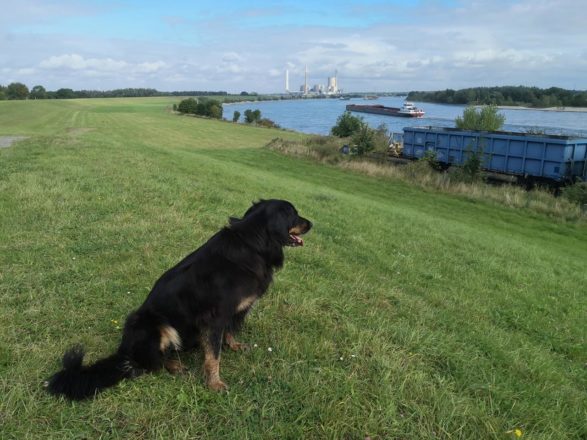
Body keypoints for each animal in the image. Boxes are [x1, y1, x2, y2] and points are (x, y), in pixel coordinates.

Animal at [47, 201, 312, 400]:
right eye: (294, 214)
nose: (312, 223)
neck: (253, 243)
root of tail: (123, 351)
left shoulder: (232, 312)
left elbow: (228, 333)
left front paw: (234, 345)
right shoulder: (215, 317)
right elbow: (213, 356)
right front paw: (214, 383)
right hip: (153, 324)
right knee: (152, 362)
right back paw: (173, 366)